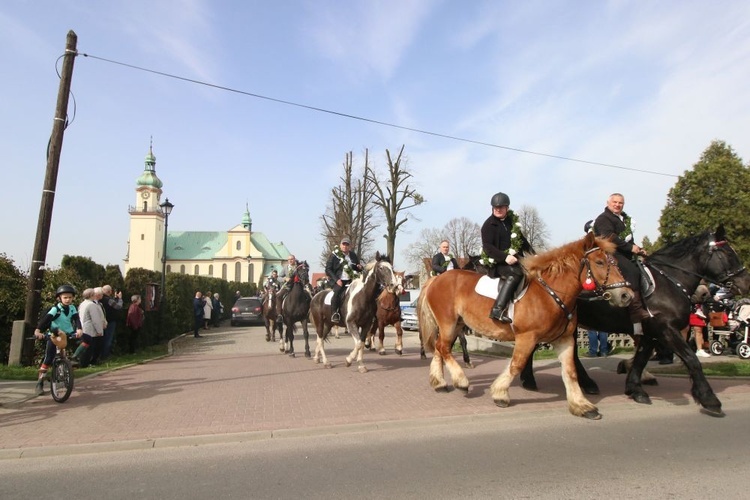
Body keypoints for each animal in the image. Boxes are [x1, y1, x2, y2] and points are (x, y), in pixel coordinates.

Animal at [424, 232, 636, 420]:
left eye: (615, 263)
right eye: (599, 262)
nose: (626, 295)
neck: (550, 293)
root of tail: (437, 279)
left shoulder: (565, 339)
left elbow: (570, 372)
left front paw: (581, 405)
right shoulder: (527, 337)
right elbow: (516, 364)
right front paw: (500, 393)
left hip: (455, 325)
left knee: (440, 348)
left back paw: (440, 383)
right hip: (449, 323)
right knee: (443, 348)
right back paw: (461, 381)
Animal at [524, 227, 750, 418]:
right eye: (728, 254)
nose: (746, 283)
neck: (668, 282)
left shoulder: (650, 331)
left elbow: (641, 358)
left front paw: (635, 387)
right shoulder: (666, 329)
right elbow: (691, 359)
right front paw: (709, 399)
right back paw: (537, 380)